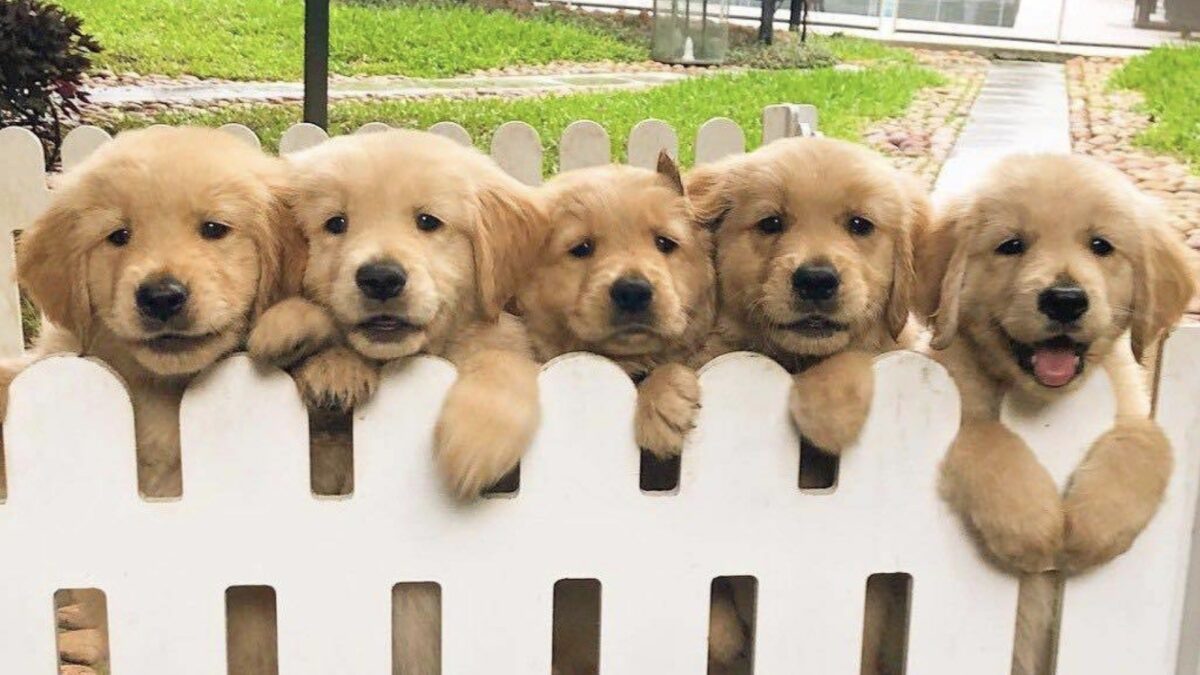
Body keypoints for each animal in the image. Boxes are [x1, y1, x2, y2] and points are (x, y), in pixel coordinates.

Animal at [685, 136, 930, 674]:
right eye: (771, 223)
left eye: (859, 225)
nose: (816, 279)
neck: (793, 363)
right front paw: (722, 637)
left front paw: (829, 411)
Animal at [915, 153, 1196, 675]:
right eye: (1011, 245)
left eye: (1101, 245)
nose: (1065, 299)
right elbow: (982, 432)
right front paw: (1032, 525)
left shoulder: (1130, 401)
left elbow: (1146, 438)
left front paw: (1094, 525)